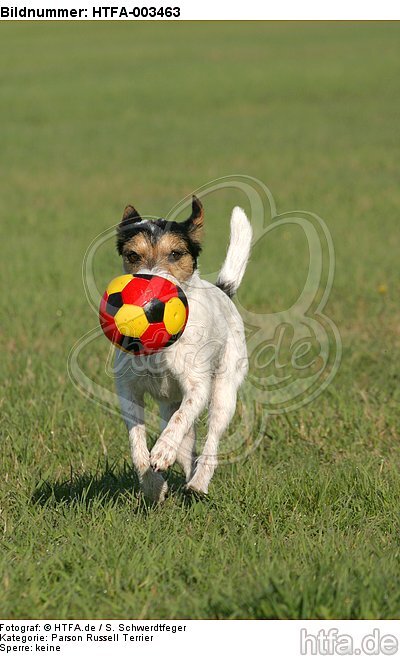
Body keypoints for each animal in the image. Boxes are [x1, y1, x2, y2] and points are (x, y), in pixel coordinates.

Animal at [112, 195, 252, 502]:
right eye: (132, 255)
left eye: (175, 254)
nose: (150, 300)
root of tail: (222, 291)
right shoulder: (127, 391)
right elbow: (137, 443)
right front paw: (153, 485)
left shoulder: (197, 386)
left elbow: (181, 419)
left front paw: (163, 451)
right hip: (169, 403)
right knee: (188, 448)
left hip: (224, 393)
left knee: (209, 444)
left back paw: (198, 484)